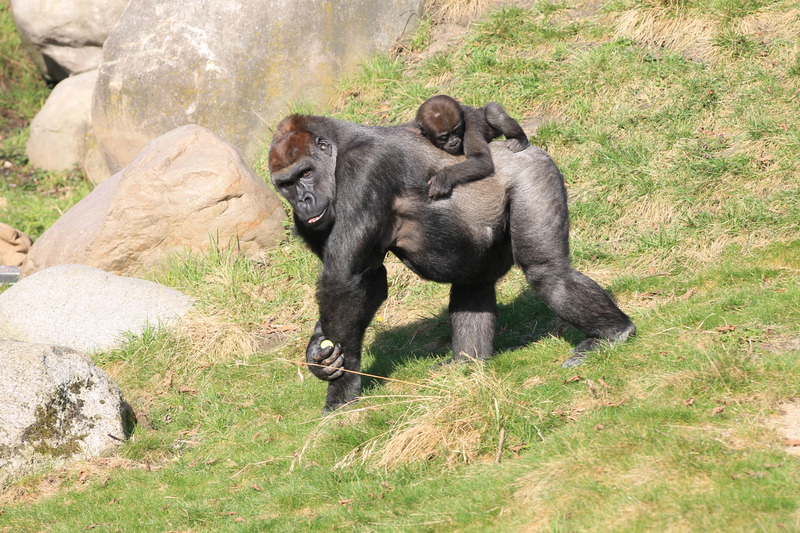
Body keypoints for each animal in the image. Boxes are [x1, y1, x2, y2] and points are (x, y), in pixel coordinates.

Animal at [268, 113, 635, 413]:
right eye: (285, 184)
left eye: (305, 173)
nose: (303, 201)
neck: (338, 147)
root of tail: (522, 147)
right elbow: (367, 280)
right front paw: (320, 355)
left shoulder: (362, 168)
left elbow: (344, 280)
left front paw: (342, 387)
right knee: (473, 284)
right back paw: (467, 363)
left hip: (532, 169)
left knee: (547, 272)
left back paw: (612, 332)